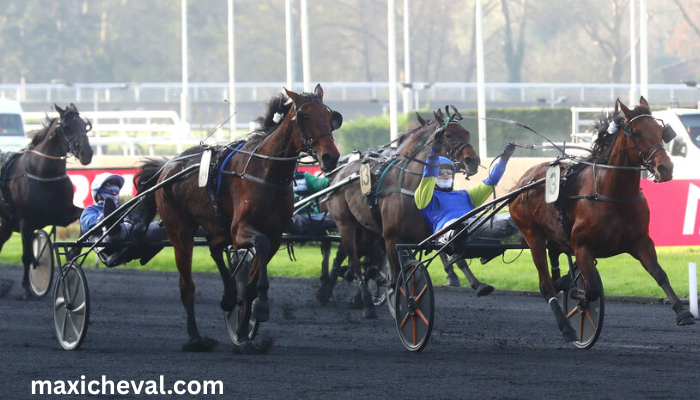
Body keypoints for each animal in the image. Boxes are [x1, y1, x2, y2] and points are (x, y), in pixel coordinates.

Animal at [0, 104, 93, 298]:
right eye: (67, 128)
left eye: (85, 125)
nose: (87, 153)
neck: (45, 175)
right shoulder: (26, 222)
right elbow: (27, 257)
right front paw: (26, 289)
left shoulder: (61, 215)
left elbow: (82, 215)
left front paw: (74, 250)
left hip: (6, 222)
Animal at [135, 85, 342, 354]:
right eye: (304, 116)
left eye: (330, 117)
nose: (330, 157)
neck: (267, 173)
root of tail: (167, 167)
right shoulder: (241, 229)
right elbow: (260, 246)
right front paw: (260, 307)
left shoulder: (275, 234)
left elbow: (253, 279)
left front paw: (244, 331)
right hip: (179, 230)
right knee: (187, 285)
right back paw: (196, 338)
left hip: (216, 225)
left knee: (214, 248)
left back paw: (229, 298)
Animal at [324, 107, 478, 318]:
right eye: (448, 135)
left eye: (468, 133)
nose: (473, 161)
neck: (413, 187)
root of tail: (339, 174)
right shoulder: (391, 238)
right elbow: (397, 276)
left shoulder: (425, 233)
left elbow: (452, 254)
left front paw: (472, 282)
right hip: (345, 224)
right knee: (354, 262)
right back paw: (366, 303)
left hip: (368, 230)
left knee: (353, 259)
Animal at [508, 95, 696, 342]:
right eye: (637, 133)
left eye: (659, 130)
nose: (665, 168)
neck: (614, 194)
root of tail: (522, 181)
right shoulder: (581, 247)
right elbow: (592, 289)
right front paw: (577, 297)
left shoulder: (641, 241)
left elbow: (660, 274)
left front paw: (684, 312)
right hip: (533, 235)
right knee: (546, 285)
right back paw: (566, 327)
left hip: (554, 238)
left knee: (554, 266)